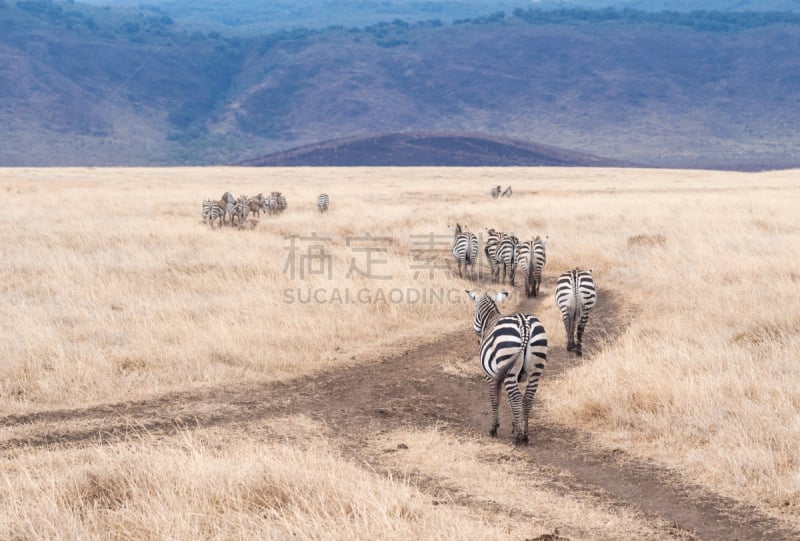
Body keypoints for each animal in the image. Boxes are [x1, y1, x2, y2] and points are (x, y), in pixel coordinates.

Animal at [466, 288, 548, 446]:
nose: (478, 338)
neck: (490, 319)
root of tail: (524, 323)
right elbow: (510, 401)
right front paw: (515, 426)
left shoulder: (490, 376)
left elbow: (494, 399)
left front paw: (494, 428)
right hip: (535, 368)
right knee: (526, 399)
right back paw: (525, 436)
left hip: (509, 363)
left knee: (516, 397)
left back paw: (518, 438)